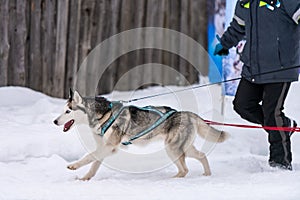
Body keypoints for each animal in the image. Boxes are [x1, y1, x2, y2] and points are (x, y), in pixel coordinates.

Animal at [54, 90, 229, 180]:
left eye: (68, 111)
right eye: (62, 110)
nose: (55, 121)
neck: (104, 115)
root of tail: (186, 113)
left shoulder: (109, 147)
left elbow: (89, 156)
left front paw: (74, 165)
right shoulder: (104, 148)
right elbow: (93, 165)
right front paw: (84, 179)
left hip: (173, 149)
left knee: (185, 169)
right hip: (180, 149)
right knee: (201, 156)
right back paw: (206, 175)